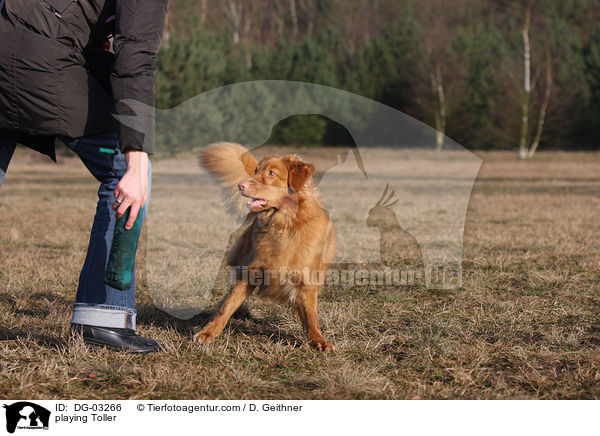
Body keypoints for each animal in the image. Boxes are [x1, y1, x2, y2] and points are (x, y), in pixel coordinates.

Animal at [193, 143, 338, 350]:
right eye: (256, 171)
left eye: (271, 173)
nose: (241, 185)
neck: (285, 225)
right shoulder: (249, 271)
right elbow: (227, 306)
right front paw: (208, 333)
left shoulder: (308, 278)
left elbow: (311, 315)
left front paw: (318, 341)